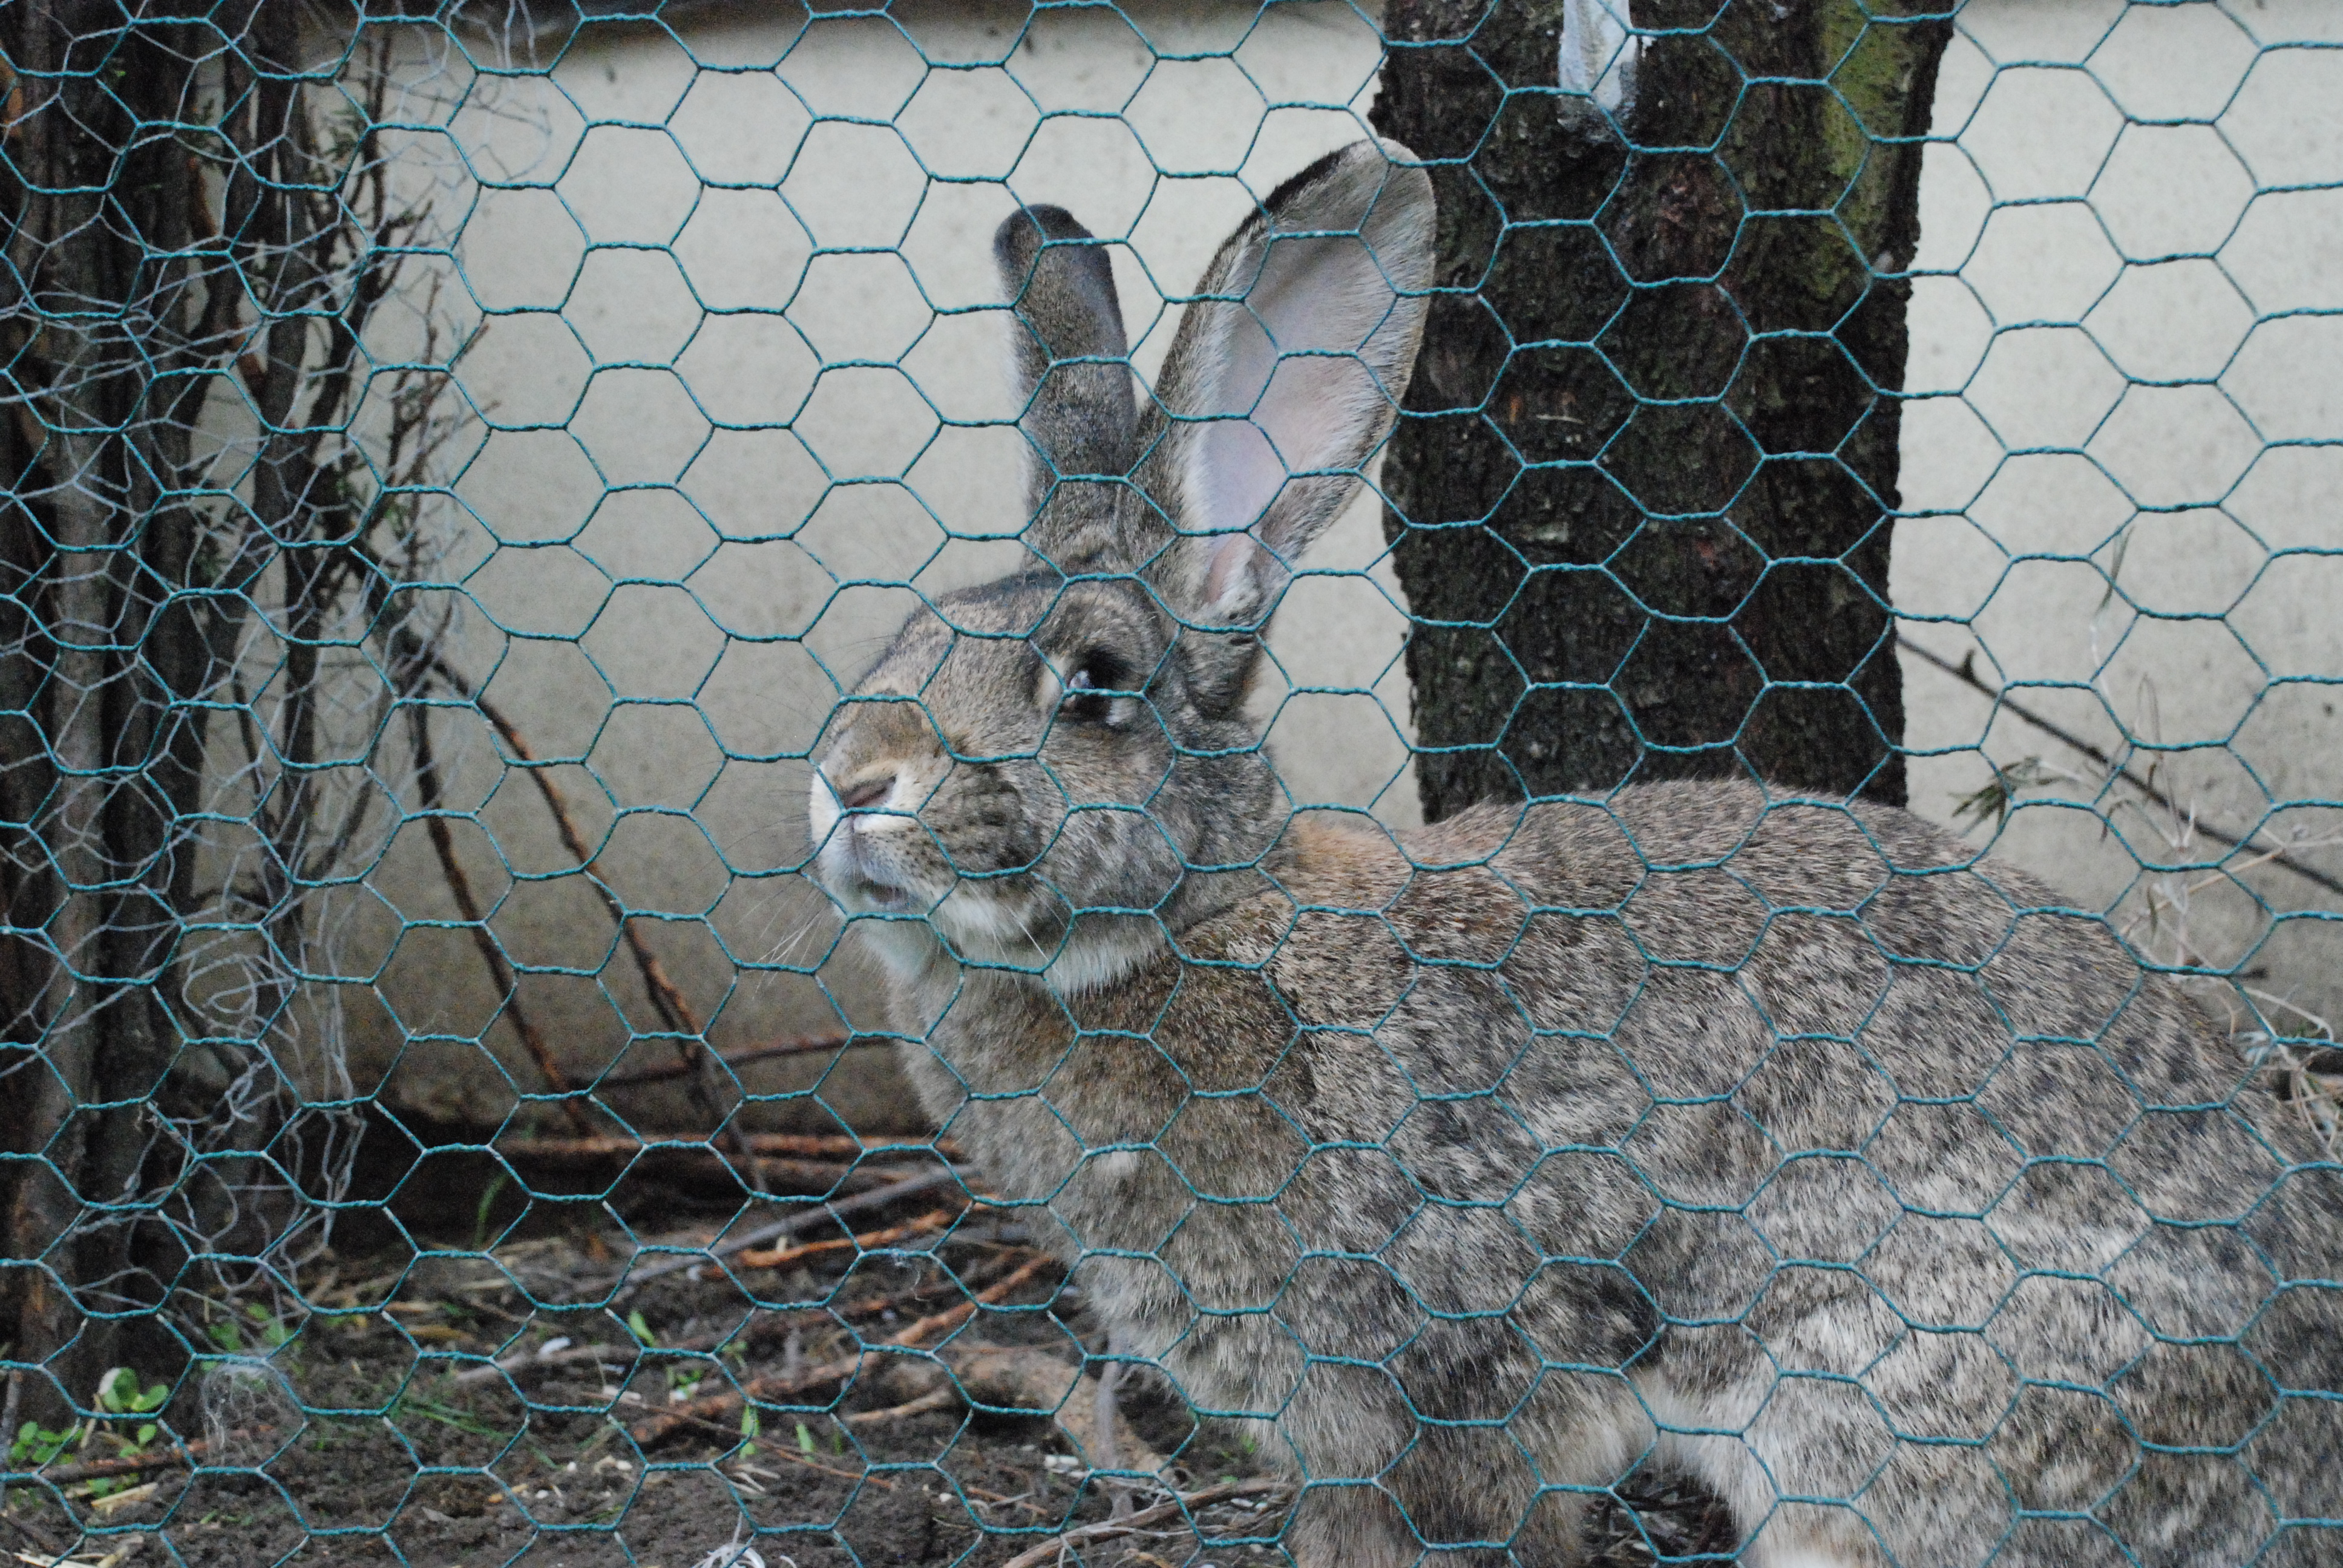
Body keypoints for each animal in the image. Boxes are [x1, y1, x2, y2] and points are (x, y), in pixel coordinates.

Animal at [805, 139, 2343, 1568]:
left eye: (1094, 688)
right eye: (905, 639)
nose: (850, 779)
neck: (1197, 925)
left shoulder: (1442, 1401)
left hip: (1870, 1433)